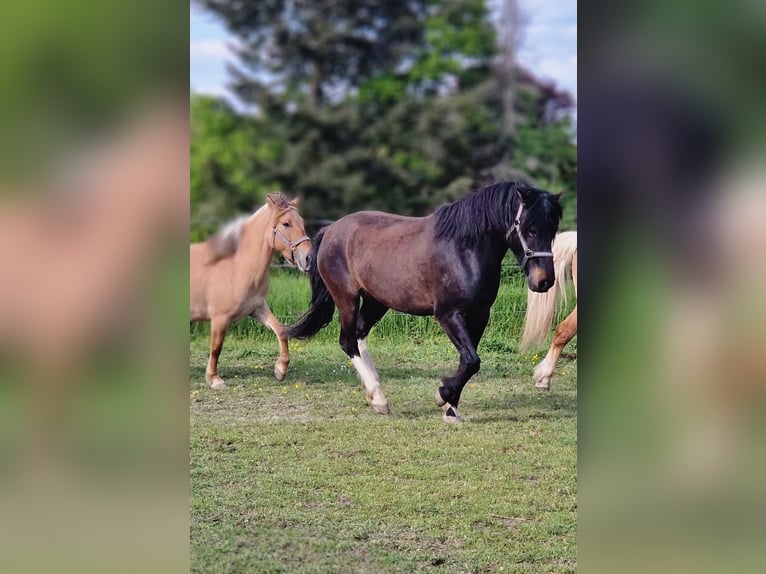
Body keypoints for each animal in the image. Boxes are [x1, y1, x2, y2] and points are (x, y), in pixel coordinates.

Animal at [190, 195, 314, 392]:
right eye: (286, 223)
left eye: (301, 222)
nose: (308, 258)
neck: (236, 266)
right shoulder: (219, 318)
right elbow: (216, 347)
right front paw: (215, 379)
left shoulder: (257, 308)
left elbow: (281, 331)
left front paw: (280, 370)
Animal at [288, 183, 564, 424]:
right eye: (529, 228)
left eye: (552, 229)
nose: (544, 281)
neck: (463, 250)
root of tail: (331, 230)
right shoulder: (448, 314)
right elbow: (472, 360)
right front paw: (442, 395)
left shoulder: (479, 315)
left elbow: (467, 360)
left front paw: (451, 409)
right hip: (347, 299)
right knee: (347, 341)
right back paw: (379, 399)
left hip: (376, 302)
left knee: (358, 335)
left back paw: (374, 393)